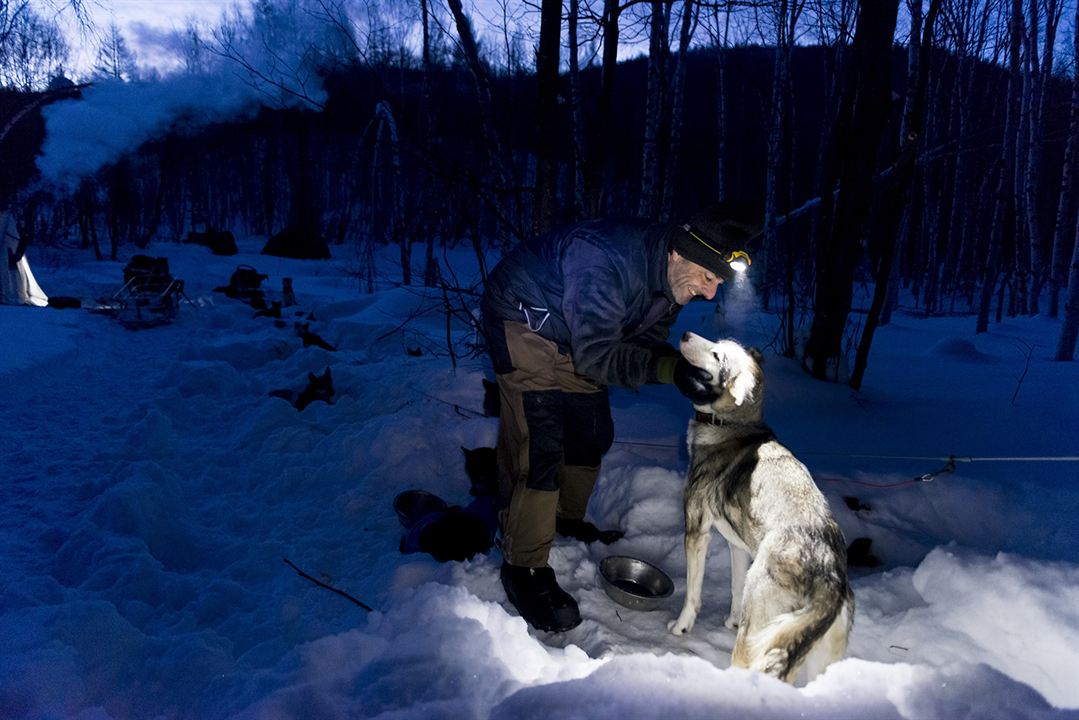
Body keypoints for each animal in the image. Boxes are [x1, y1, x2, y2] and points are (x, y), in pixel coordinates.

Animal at [664, 334, 850, 686]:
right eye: (718, 344)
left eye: (716, 354)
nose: (684, 336)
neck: (730, 425)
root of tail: (828, 574)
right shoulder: (737, 546)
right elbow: (736, 588)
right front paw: (731, 619)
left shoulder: (696, 530)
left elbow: (692, 593)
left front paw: (681, 626)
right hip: (817, 658)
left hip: (757, 638)